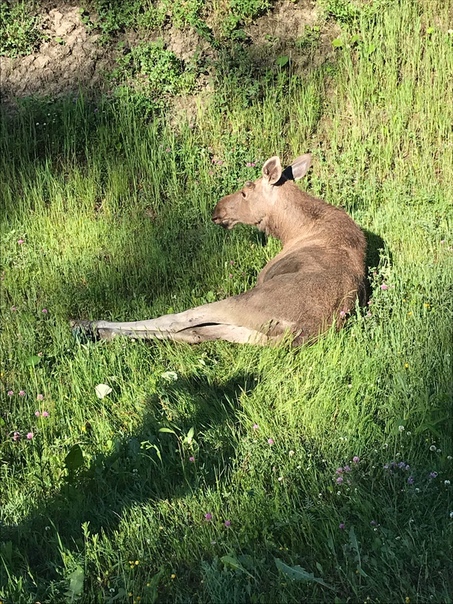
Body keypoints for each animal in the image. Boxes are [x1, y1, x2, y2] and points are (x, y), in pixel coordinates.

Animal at [72, 153, 366, 346]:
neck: (290, 229)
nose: (217, 209)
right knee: (197, 333)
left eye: (246, 192)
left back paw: (87, 325)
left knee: (179, 320)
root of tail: (298, 330)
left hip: (245, 302)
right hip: (250, 331)